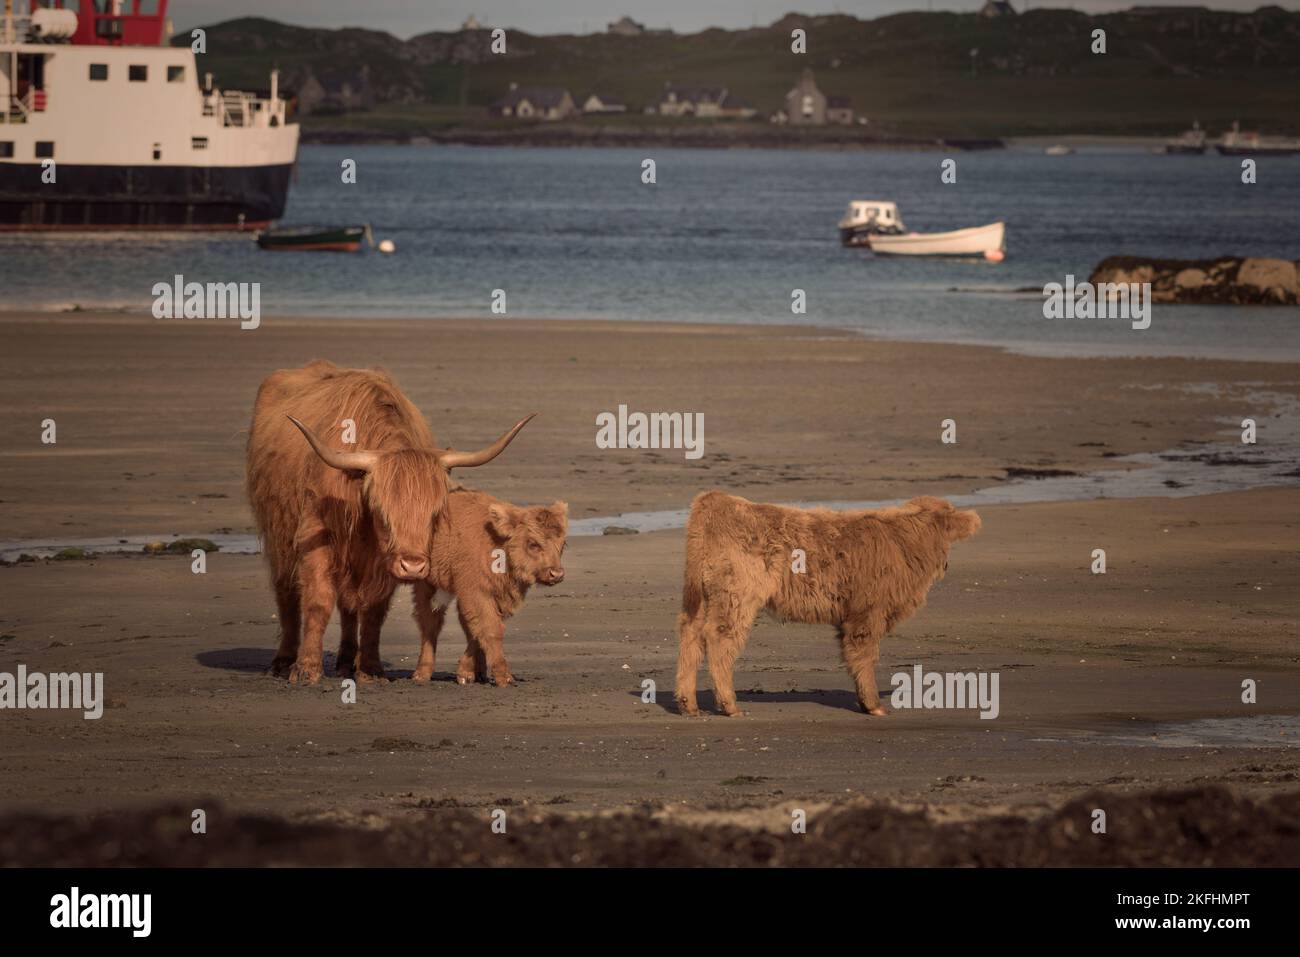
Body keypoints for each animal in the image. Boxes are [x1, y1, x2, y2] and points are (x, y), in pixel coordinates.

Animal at [246, 360, 534, 685]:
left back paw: (346, 662)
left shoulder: (381, 560)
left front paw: (370, 669)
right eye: (383, 513)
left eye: (434, 514)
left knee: (348, 606)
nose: (413, 566)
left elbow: (374, 608)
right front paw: (306, 669)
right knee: (286, 592)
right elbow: (318, 600)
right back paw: (282, 662)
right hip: (278, 534)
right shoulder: (315, 535)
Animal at [409, 488, 568, 687]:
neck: (497, 541)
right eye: (533, 543)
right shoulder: (476, 593)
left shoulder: (493, 596)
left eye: (562, 544)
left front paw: (466, 673)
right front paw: (504, 677)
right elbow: (491, 629)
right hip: (426, 584)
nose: (557, 574)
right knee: (430, 624)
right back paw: (421, 673)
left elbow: (476, 630)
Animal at [674, 491, 981, 717]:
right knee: (719, 638)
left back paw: (688, 704)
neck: (906, 542)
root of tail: (718, 499)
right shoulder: (867, 613)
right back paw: (730, 705)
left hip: (702, 598)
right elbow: (864, 654)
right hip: (736, 595)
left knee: (692, 634)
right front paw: (873, 705)